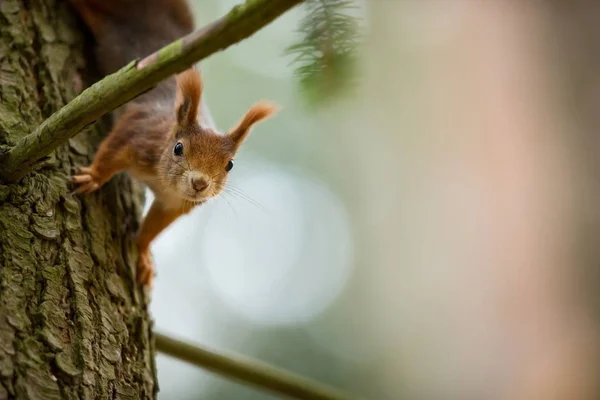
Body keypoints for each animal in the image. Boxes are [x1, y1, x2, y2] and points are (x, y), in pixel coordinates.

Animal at [67, 0, 278, 288]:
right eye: (178, 148)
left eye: (230, 165)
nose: (199, 183)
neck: (162, 179)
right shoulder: (138, 132)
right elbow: (111, 152)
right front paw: (93, 176)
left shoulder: (174, 203)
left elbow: (154, 227)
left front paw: (143, 255)